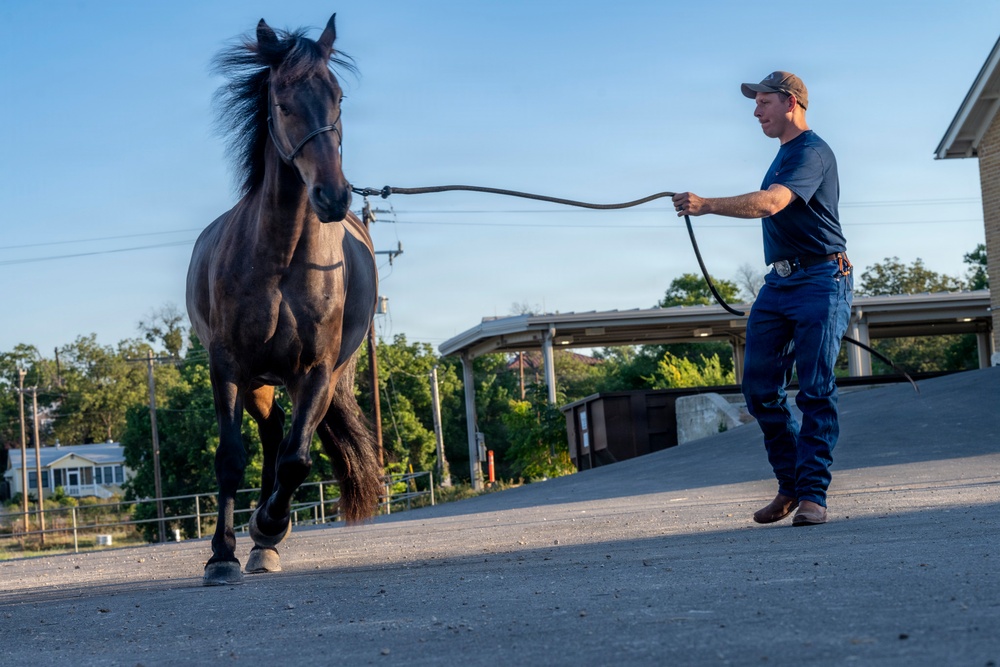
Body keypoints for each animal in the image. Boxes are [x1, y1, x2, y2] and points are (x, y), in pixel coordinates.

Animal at [186, 14, 382, 586]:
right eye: (283, 102)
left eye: (338, 97)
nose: (333, 197)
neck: (280, 258)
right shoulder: (228, 365)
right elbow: (231, 458)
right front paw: (222, 554)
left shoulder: (315, 370)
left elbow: (297, 461)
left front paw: (269, 528)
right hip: (258, 380)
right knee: (270, 433)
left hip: (313, 378)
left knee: (286, 443)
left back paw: (267, 536)